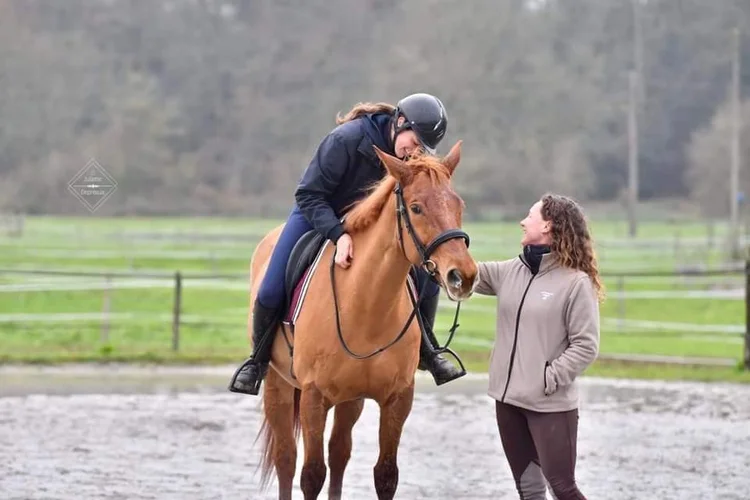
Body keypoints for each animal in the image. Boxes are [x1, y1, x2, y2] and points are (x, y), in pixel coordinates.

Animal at [250, 141, 478, 500]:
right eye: (416, 208)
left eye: (459, 205)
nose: (463, 276)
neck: (366, 307)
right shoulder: (313, 397)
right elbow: (311, 475)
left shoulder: (398, 399)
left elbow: (385, 475)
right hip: (279, 386)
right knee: (286, 457)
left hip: (349, 400)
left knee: (339, 454)